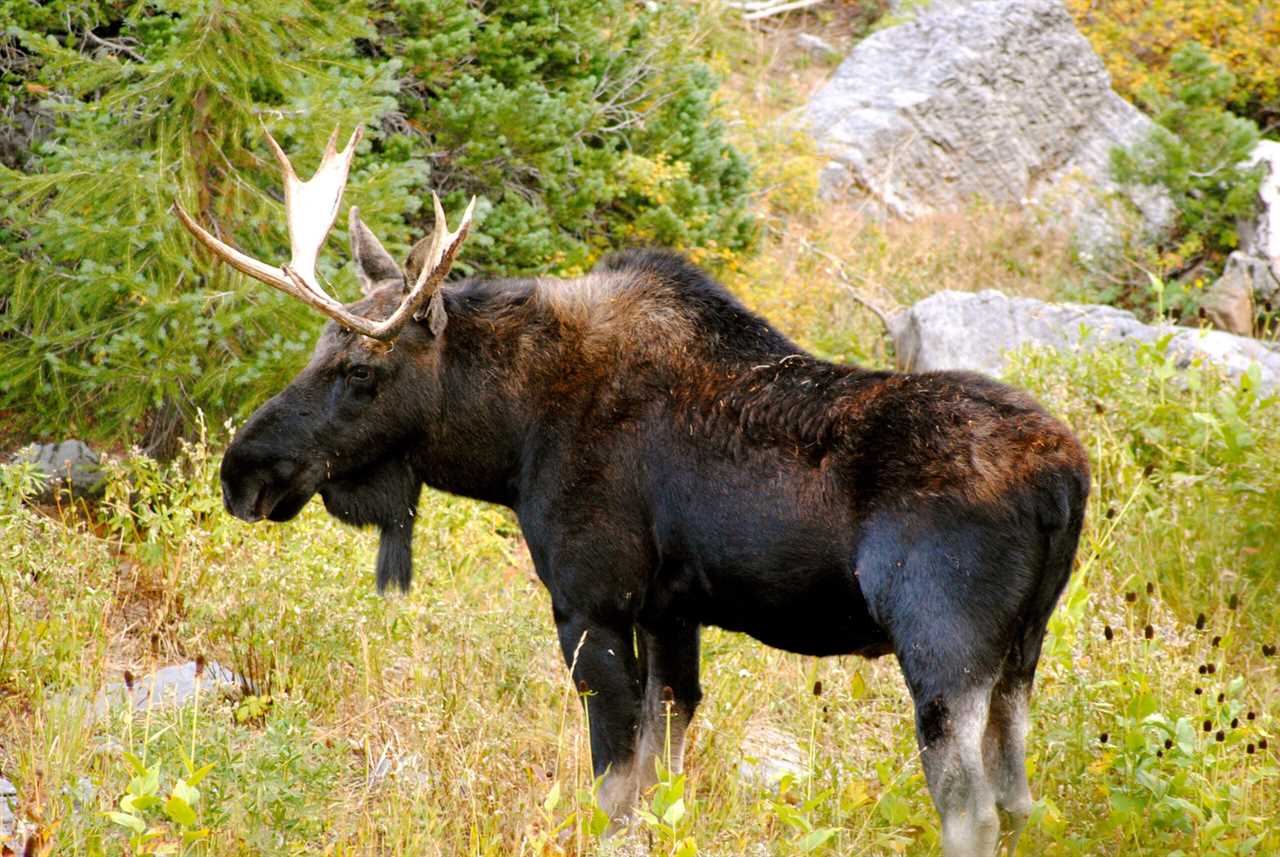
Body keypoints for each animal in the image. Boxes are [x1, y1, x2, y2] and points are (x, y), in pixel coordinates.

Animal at [172, 127, 1090, 857]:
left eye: (360, 370)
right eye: (315, 350)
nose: (243, 471)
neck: (511, 439)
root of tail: (1068, 477)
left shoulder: (592, 601)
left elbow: (612, 789)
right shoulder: (671, 609)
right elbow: (665, 773)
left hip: (941, 642)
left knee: (971, 810)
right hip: (1020, 652)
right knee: (1020, 802)